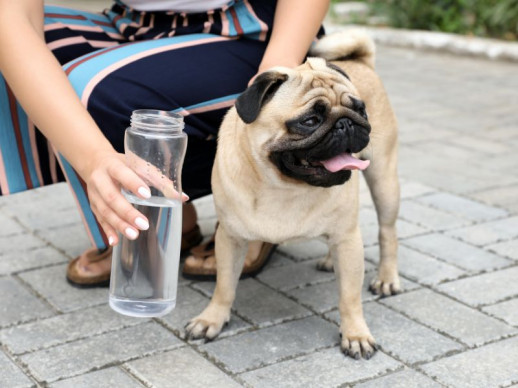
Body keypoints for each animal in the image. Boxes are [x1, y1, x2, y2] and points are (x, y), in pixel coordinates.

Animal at [187, 30, 402, 360]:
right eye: (309, 121)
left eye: (360, 110)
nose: (347, 122)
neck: (284, 187)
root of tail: (359, 61)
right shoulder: (230, 238)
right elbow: (224, 285)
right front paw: (212, 319)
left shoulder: (347, 238)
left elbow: (349, 297)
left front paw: (355, 334)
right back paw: (330, 260)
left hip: (383, 179)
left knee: (387, 232)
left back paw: (387, 278)